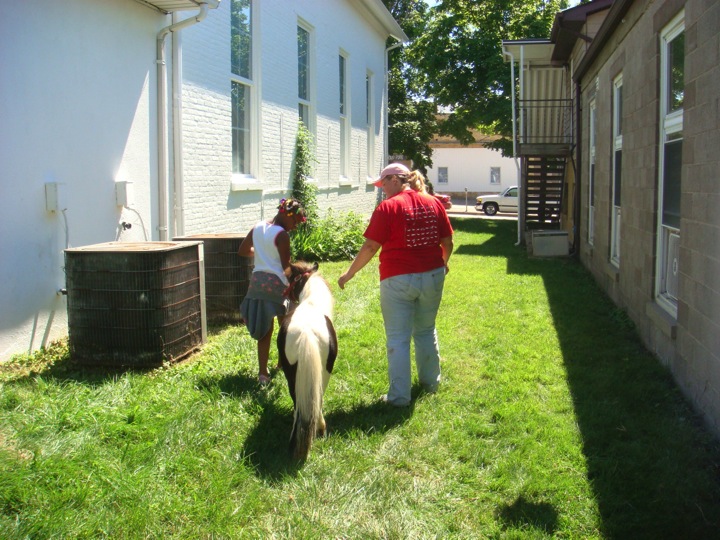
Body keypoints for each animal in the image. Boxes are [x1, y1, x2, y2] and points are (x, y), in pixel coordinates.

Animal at [280, 262, 338, 460]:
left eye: (290, 277)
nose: (284, 294)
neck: (311, 303)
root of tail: (306, 332)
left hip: (292, 375)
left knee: (299, 402)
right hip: (324, 371)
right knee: (316, 398)